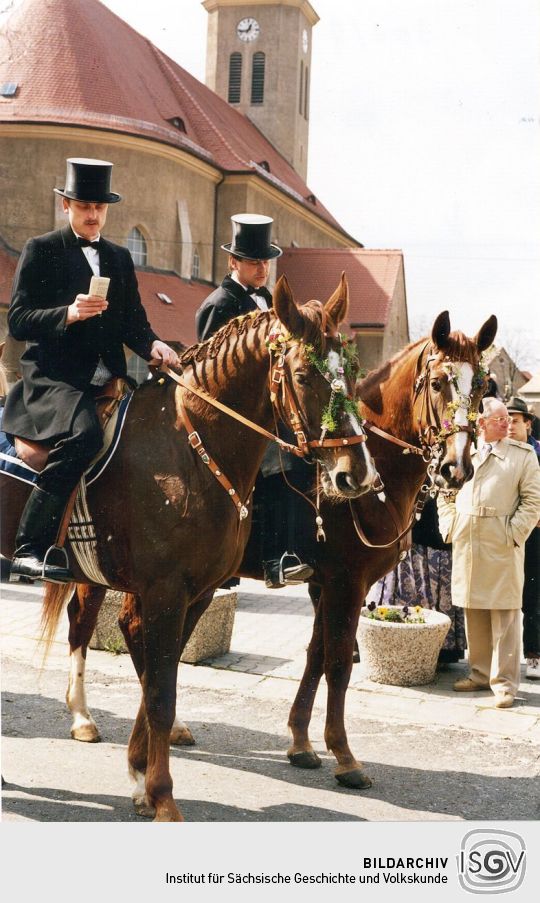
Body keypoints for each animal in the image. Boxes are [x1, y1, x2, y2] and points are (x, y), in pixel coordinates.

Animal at [0, 276, 376, 820]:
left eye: (352, 372)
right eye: (305, 375)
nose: (357, 473)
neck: (191, 451)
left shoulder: (197, 592)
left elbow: (163, 679)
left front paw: (140, 777)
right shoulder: (165, 592)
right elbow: (160, 694)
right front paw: (162, 797)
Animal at [57, 310, 496, 800]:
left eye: (482, 386)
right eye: (437, 383)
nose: (456, 468)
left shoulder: (324, 585)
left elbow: (316, 656)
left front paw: (301, 741)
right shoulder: (347, 582)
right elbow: (337, 663)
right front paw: (343, 756)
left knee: (127, 629)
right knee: (85, 622)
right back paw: (84, 717)